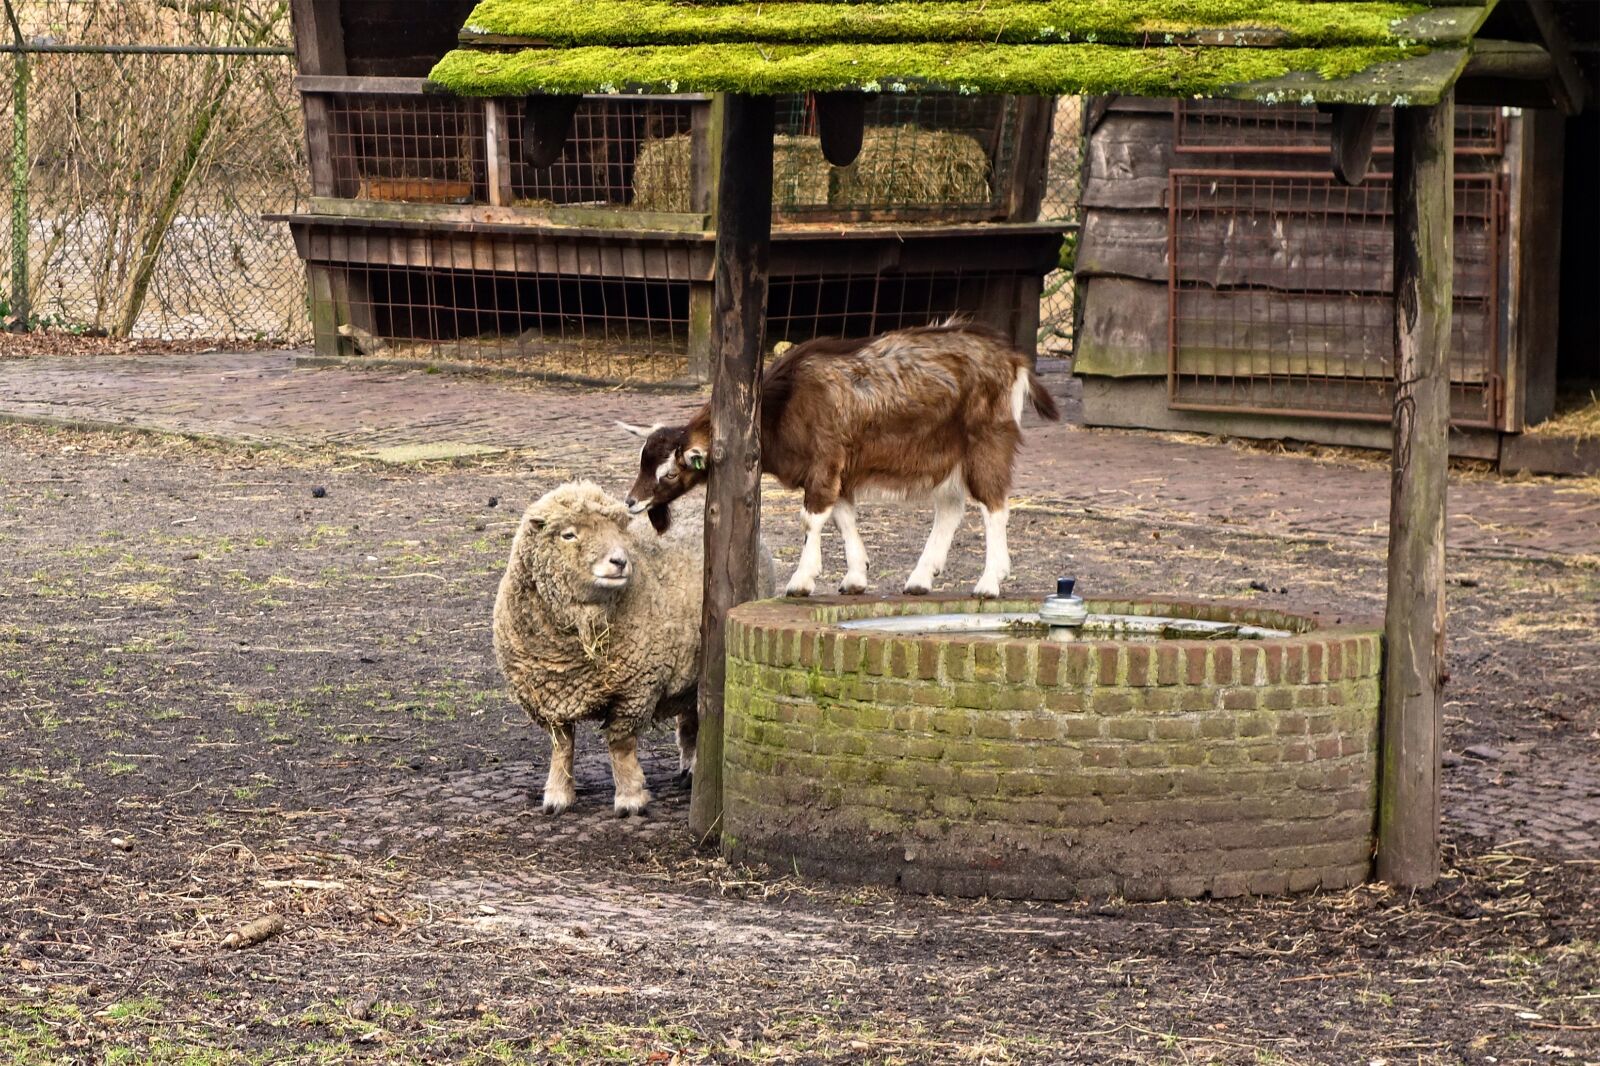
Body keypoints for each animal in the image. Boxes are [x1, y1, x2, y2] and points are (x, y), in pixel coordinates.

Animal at [492, 481, 772, 816]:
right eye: (568, 534)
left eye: (618, 530)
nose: (620, 561)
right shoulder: (549, 697)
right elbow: (563, 746)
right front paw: (557, 795)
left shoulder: (634, 690)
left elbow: (621, 746)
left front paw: (630, 798)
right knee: (690, 718)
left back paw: (692, 768)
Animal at [621, 320, 1060, 599]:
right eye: (644, 461)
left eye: (669, 473)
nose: (631, 501)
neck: (782, 403)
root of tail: (1014, 360)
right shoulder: (840, 472)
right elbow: (844, 516)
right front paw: (854, 579)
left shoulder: (825, 462)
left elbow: (812, 518)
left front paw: (801, 581)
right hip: (945, 456)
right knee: (951, 509)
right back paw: (920, 579)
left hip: (987, 441)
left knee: (994, 506)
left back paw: (990, 581)